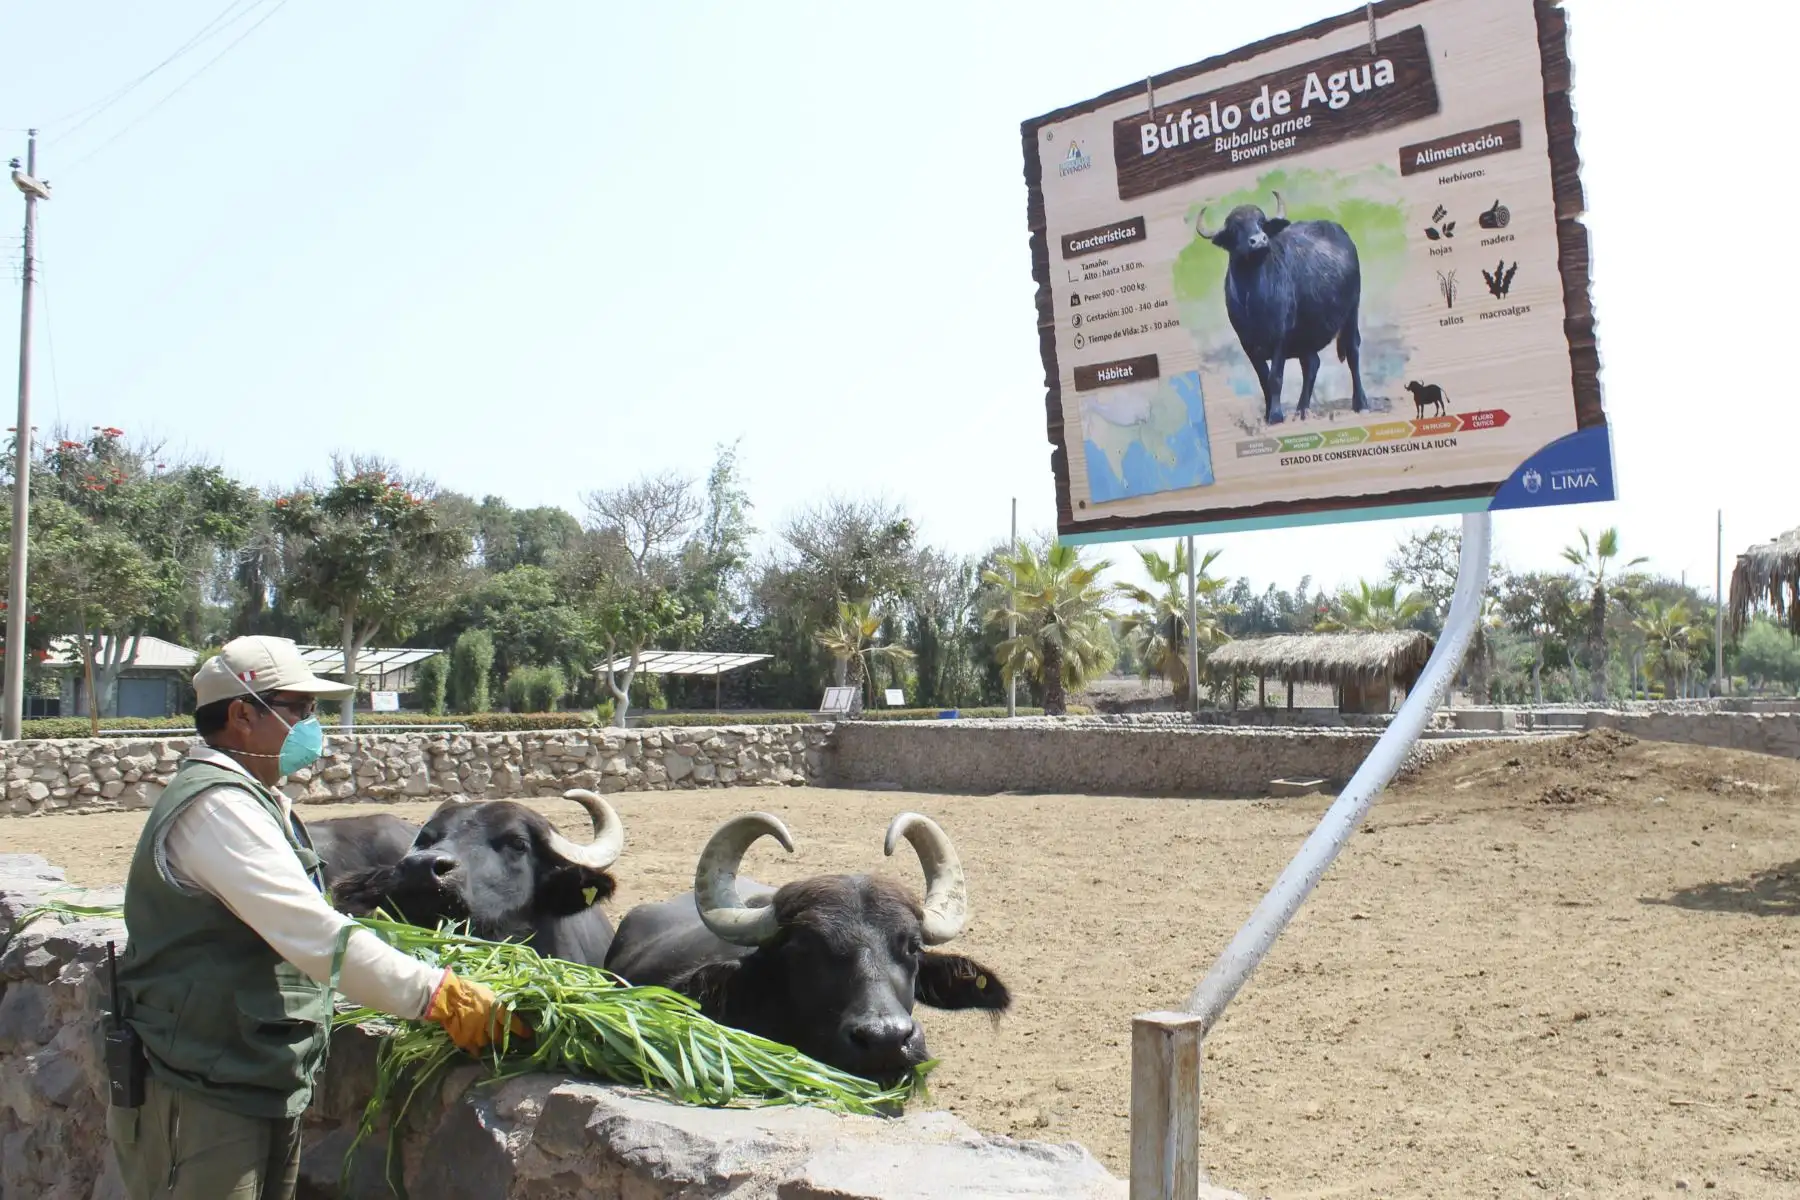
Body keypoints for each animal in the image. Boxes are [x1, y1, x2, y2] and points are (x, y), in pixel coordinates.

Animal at [1195, 190, 1368, 425]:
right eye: (1234, 229)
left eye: (1260, 222)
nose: (1259, 240)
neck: (1253, 301)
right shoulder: (1247, 344)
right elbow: (1263, 379)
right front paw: (1269, 412)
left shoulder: (1280, 337)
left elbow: (1275, 377)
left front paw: (1276, 415)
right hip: (1306, 336)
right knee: (1312, 363)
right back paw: (1301, 410)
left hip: (1351, 312)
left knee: (1352, 351)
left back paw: (1361, 403)